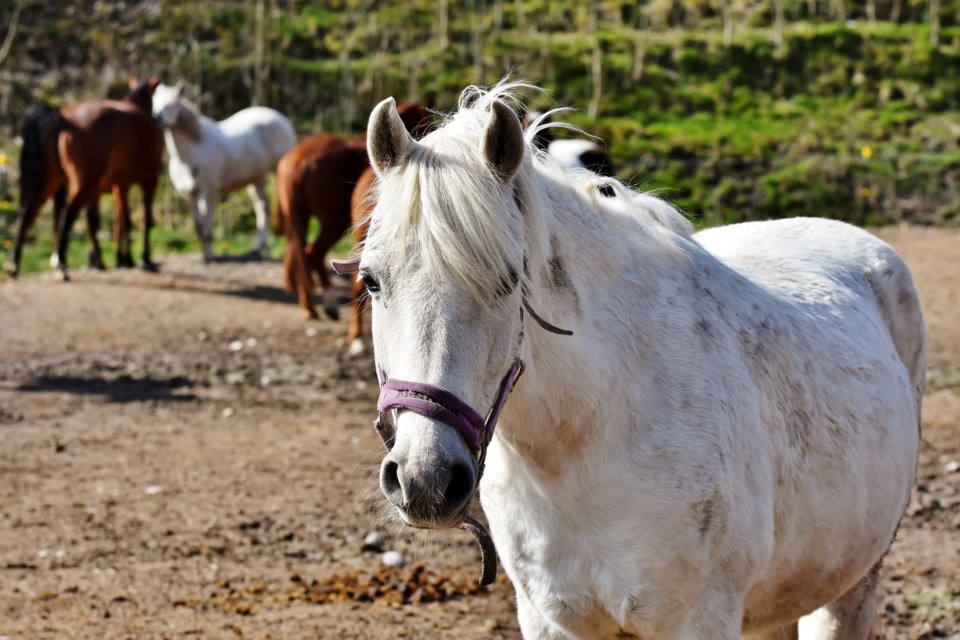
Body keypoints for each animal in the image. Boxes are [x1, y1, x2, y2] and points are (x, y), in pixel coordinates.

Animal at [3, 75, 165, 280]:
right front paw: (144, 259)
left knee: (27, 213)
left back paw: (14, 263)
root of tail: (63, 118)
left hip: (52, 179)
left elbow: (121, 220)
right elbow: (142, 220)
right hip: (84, 183)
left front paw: (124, 259)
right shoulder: (149, 180)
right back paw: (60, 264)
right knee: (65, 215)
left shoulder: (121, 185)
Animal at [151, 84, 296, 262]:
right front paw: (206, 256)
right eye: (154, 103)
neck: (191, 152)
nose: (157, 119)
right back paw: (257, 248)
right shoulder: (188, 195)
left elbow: (206, 225)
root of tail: (284, 121)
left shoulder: (207, 193)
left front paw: (211, 255)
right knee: (262, 207)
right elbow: (198, 226)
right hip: (256, 177)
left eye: (172, 104)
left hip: (278, 172)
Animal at [276, 103, 430, 322]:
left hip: (301, 218)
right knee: (312, 254)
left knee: (301, 253)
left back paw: (311, 306)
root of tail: (298, 163)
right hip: (334, 222)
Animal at [344, 82, 924, 636]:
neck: (589, 435)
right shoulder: (551, 620)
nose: (425, 479)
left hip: (854, 582)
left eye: (508, 281)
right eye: (371, 281)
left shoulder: (700, 620)